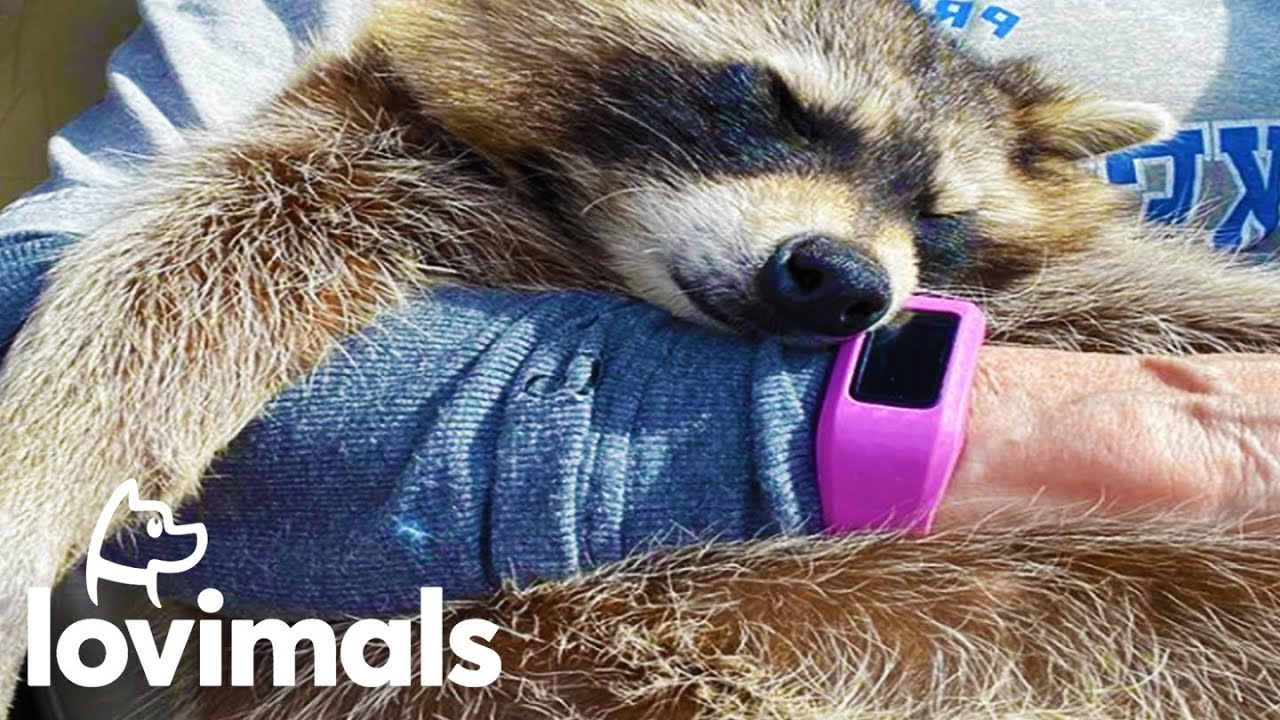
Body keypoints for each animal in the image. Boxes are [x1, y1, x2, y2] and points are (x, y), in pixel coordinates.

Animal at [3, 0, 1280, 717]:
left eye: (939, 213)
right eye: (775, 101)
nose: (841, 281)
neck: (597, 243)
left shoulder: (1067, 294)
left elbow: (1175, 302)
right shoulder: (366, 151)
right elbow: (201, 247)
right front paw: (44, 466)